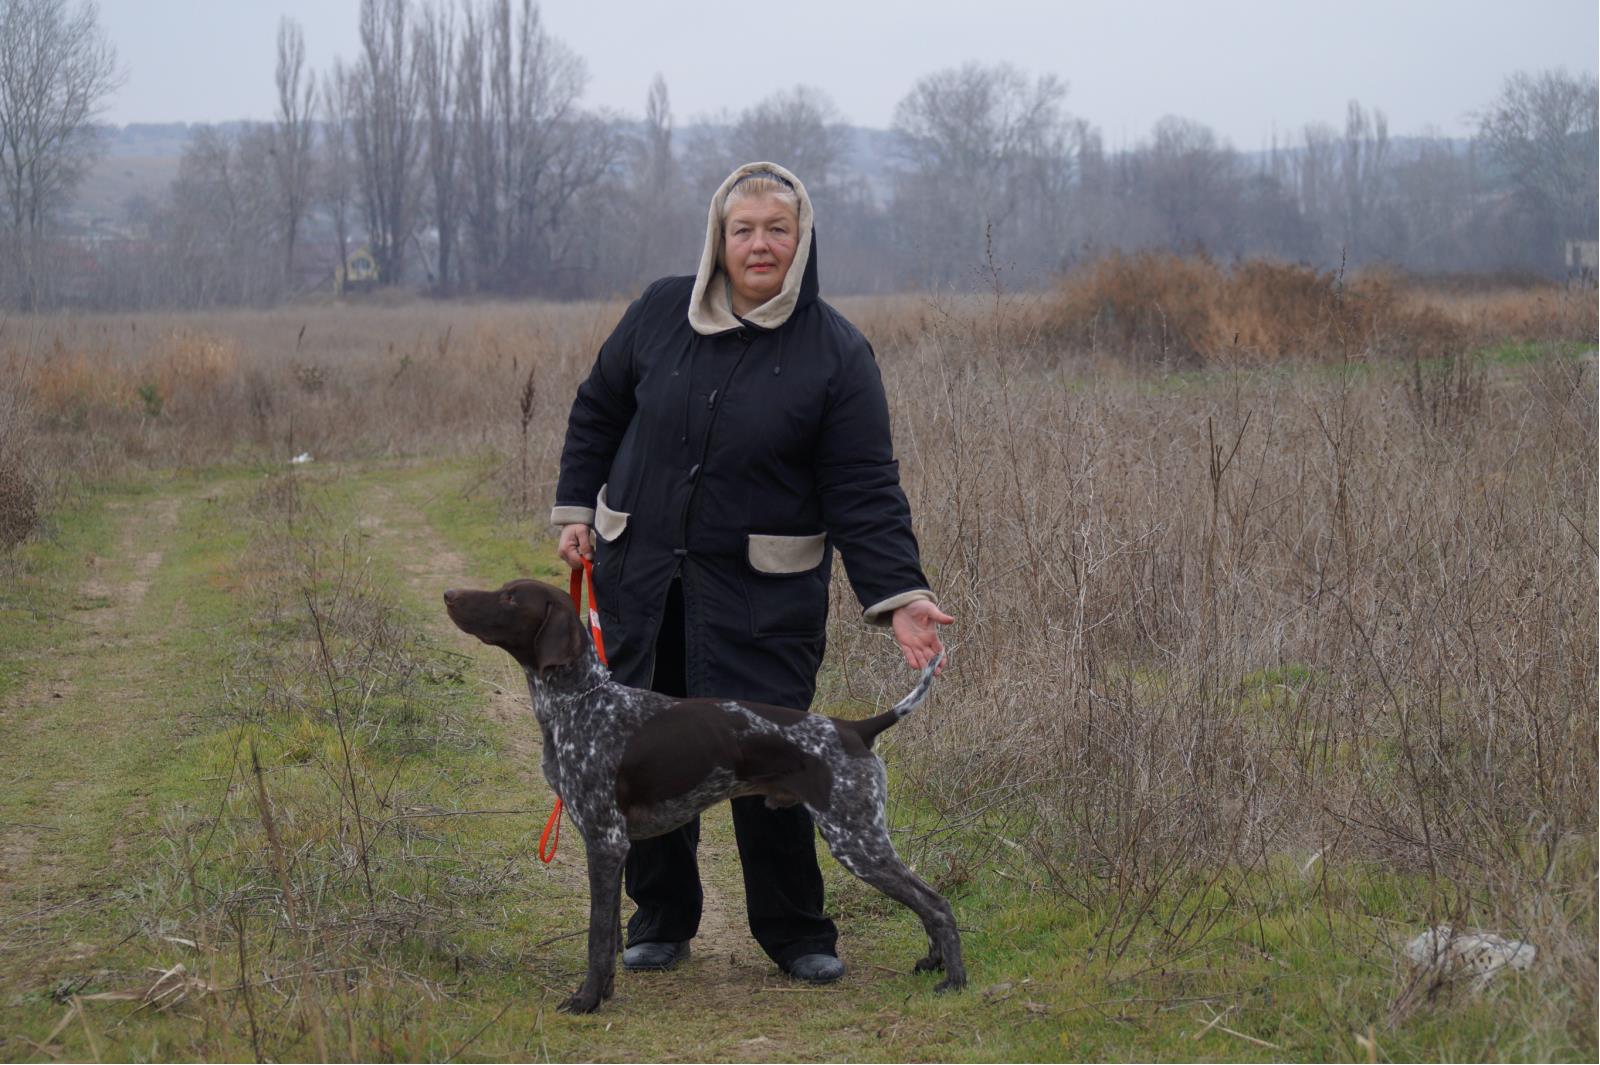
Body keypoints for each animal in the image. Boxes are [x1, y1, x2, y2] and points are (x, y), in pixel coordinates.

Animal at [443, 578, 964, 1013]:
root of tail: (856, 728)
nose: (449, 595)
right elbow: (608, 934)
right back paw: (932, 963)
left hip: (855, 839)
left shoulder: (605, 841)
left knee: (936, 903)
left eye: (511, 597)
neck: (580, 702)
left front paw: (587, 1001)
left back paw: (954, 982)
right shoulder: (609, 843)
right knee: (927, 902)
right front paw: (604, 993)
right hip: (861, 839)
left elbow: (596, 935)